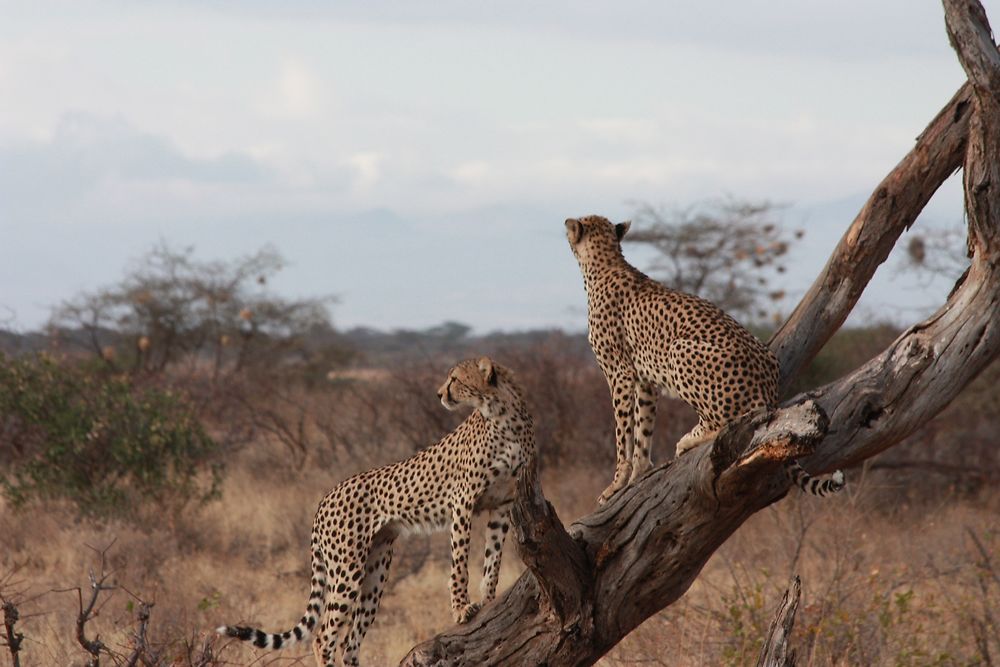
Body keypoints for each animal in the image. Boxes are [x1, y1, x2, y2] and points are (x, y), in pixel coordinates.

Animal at [216, 358, 536, 667]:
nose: (439, 394)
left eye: (454, 378)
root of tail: (325, 497)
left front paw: (490, 601)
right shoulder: (463, 501)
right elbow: (459, 563)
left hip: (375, 574)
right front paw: (461, 609)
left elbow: (492, 560)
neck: (503, 417)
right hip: (347, 570)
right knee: (324, 637)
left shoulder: (503, 504)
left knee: (349, 642)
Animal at [568, 217, 840, 504]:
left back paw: (688, 440)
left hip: (679, 349)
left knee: (724, 422)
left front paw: (616, 483)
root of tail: (769, 390)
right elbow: (643, 428)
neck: (606, 262)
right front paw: (638, 474)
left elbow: (622, 431)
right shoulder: (644, 379)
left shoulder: (619, 374)